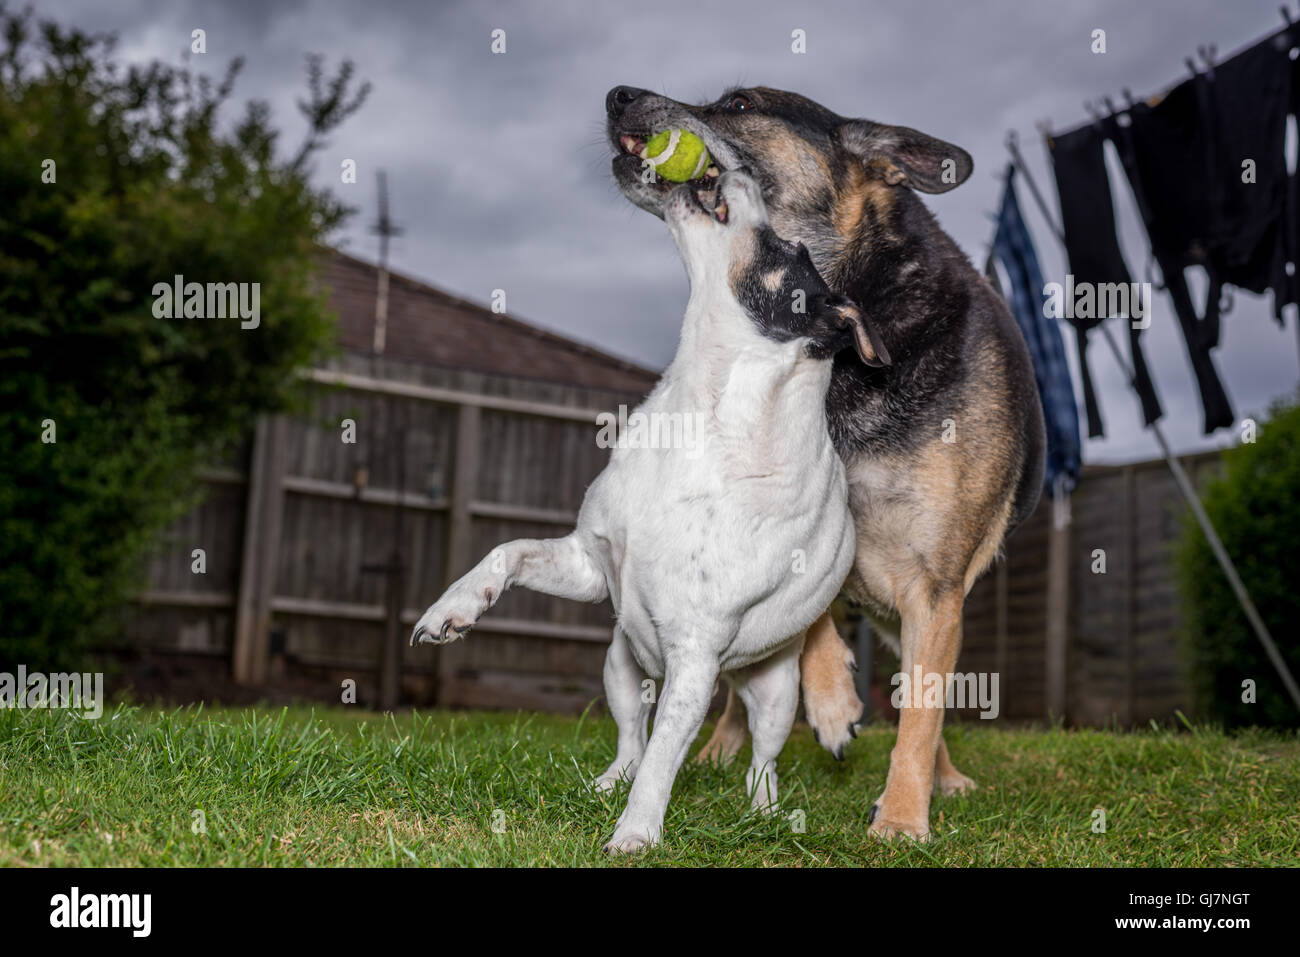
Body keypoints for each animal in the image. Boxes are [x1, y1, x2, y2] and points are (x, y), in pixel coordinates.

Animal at [410, 170, 889, 852]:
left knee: (760, 757)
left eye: (788, 249)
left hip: (771, 689)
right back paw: (609, 781)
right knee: (631, 739)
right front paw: (454, 608)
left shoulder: (693, 656)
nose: (733, 171)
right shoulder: (588, 565)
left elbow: (667, 758)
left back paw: (762, 810)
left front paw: (637, 832)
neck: (702, 415)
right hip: (621, 663)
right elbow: (506, 552)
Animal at [608, 85, 1045, 842]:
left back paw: (944, 777)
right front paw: (835, 701)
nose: (618, 95)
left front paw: (902, 816)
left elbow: (921, 713)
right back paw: (726, 744)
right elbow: (809, 630)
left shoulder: (935, 586)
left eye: (740, 104)